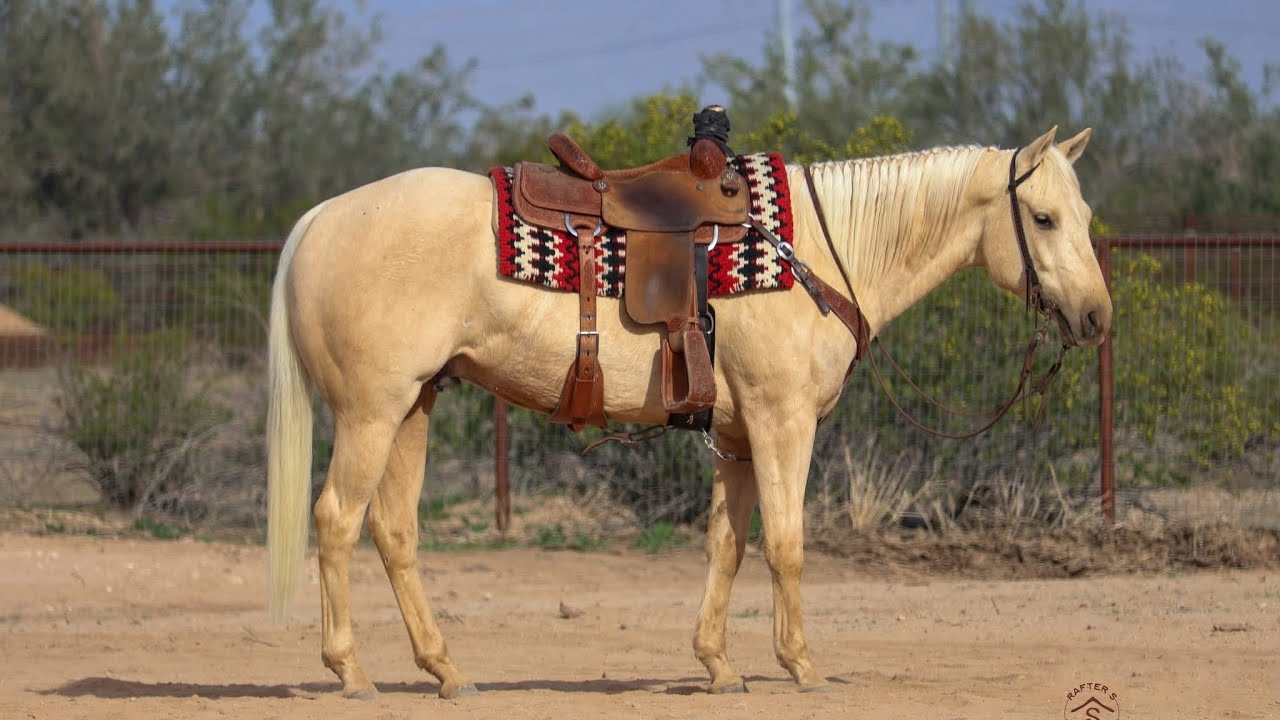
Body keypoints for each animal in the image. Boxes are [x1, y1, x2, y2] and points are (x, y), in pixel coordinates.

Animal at [266, 125, 1111, 698]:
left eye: (1084, 213)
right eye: (1042, 218)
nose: (1098, 317)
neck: (817, 256)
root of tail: (317, 219)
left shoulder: (736, 436)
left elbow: (726, 548)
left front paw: (719, 665)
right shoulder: (781, 421)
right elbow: (788, 545)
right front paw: (801, 665)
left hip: (415, 405)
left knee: (393, 530)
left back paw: (446, 670)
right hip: (371, 413)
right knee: (337, 520)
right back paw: (351, 672)